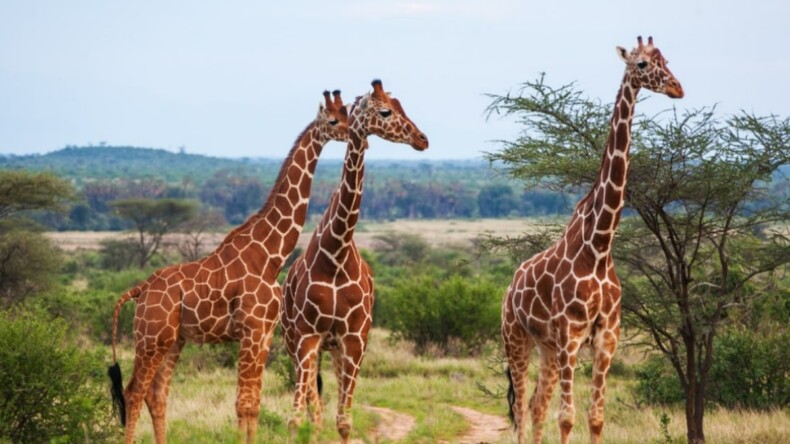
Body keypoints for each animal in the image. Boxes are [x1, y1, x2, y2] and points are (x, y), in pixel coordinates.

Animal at [106, 90, 350, 444]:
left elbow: (254, 403)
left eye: (347, 113)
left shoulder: (264, 333)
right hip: (151, 338)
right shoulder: (251, 330)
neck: (271, 256)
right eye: (333, 120)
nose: (352, 132)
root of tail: (140, 289)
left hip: (173, 340)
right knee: (134, 391)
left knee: (157, 394)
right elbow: (243, 403)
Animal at [282, 78, 430, 442]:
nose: (422, 139)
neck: (336, 252)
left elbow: (344, 421)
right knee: (313, 406)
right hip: (296, 342)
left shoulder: (354, 338)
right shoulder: (306, 336)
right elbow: (295, 418)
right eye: (385, 111)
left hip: (337, 348)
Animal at [504, 37, 684, 444]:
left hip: (547, 348)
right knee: (521, 408)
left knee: (536, 405)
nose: (677, 88)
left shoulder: (607, 337)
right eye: (643, 64)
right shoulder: (571, 335)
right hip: (516, 339)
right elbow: (567, 418)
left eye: (666, 60)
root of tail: (509, 287)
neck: (599, 245)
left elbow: (596, 417)